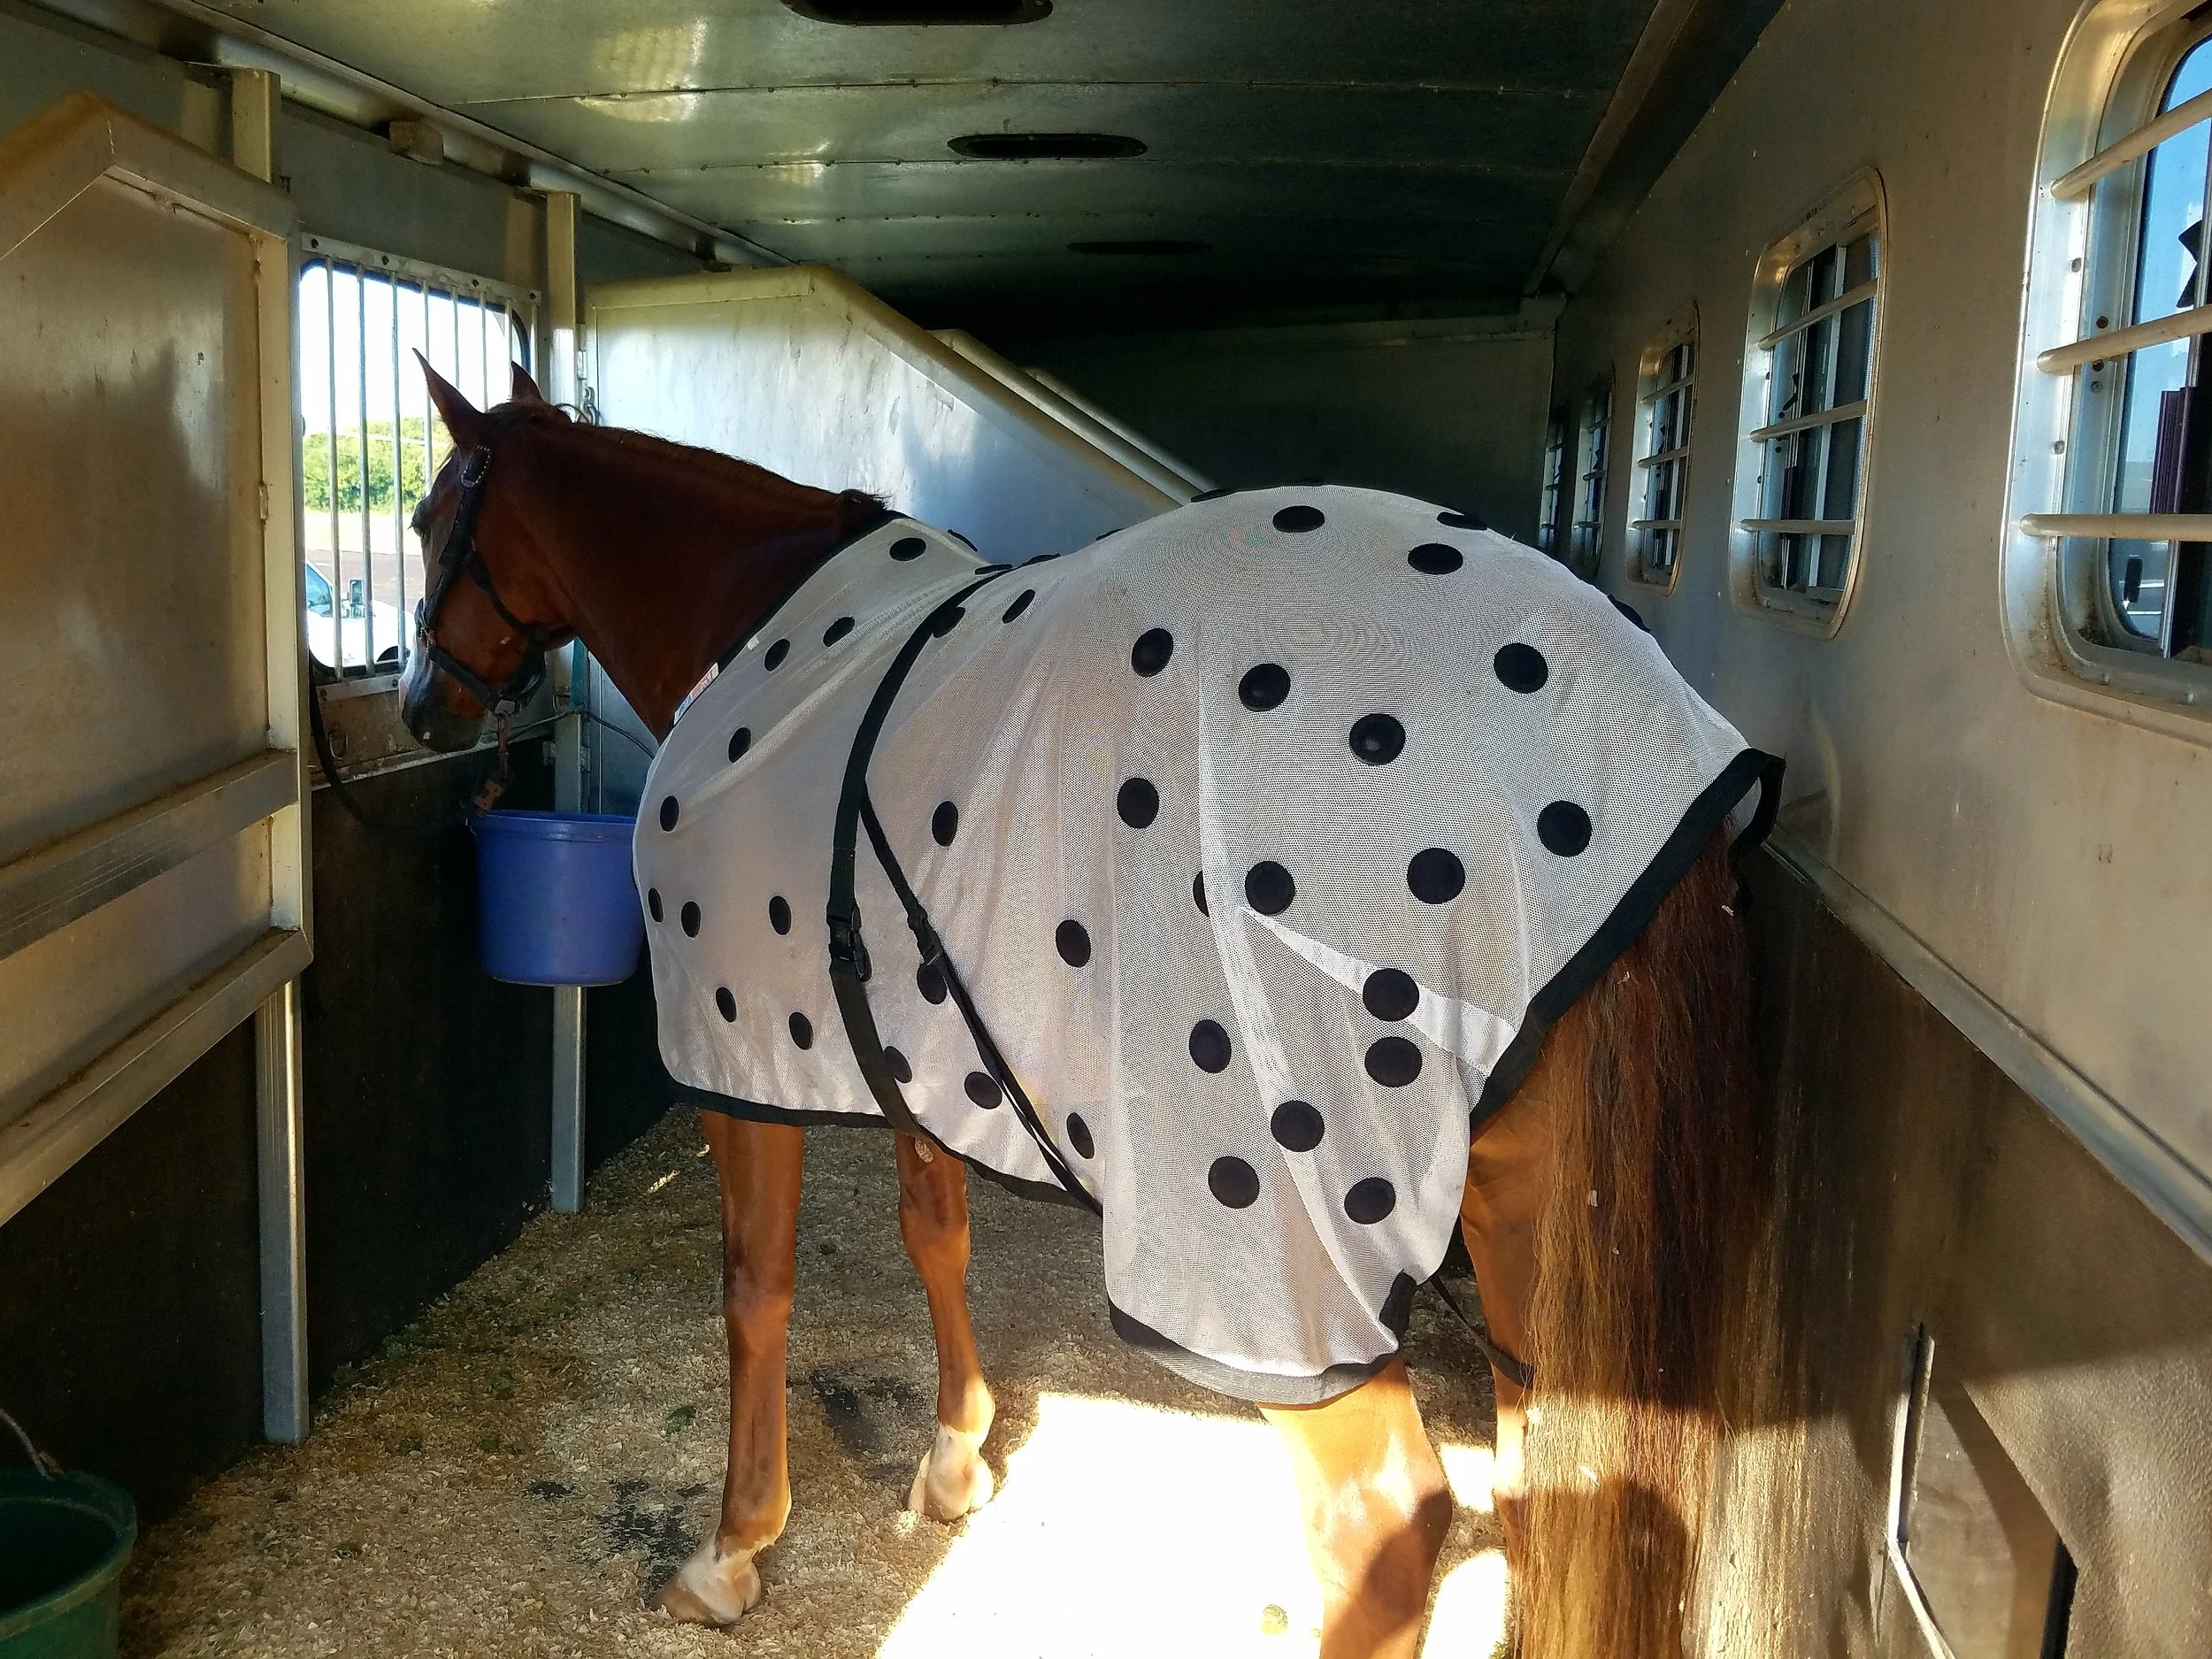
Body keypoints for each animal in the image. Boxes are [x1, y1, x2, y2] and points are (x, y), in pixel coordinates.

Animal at [395, 357, 1770, 1659]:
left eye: (427, 516)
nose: (420, 704)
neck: (755, 627)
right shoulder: (916, 1047)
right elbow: (934, 1233)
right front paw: (955, 1458)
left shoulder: (742, 1065)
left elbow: (754, 1290)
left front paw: (733, 1549)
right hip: (1529, 1228)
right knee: (1548, 1471)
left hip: (1281, 1230)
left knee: (1382, 1517)